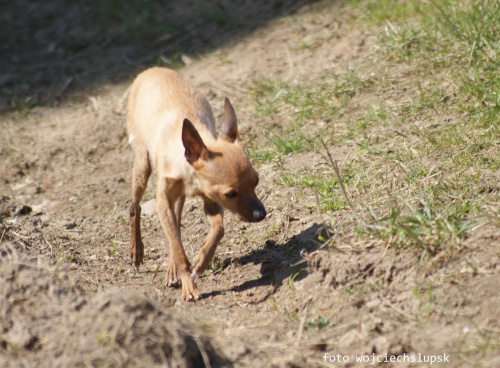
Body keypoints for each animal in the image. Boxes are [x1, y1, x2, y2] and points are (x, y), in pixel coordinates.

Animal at [126, 67, 266, 300]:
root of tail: (151, 69)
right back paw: (136, 252)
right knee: (134, 208)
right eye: (231, 194)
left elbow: (217, 229)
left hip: (176, 198)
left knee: (176, 224)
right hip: (141, 166)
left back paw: (172, 270)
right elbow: (177, 245)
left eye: (256, 181)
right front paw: (189, 286)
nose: (261, 214)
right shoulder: (163, 202)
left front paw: (201, 260)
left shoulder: (211, 201)